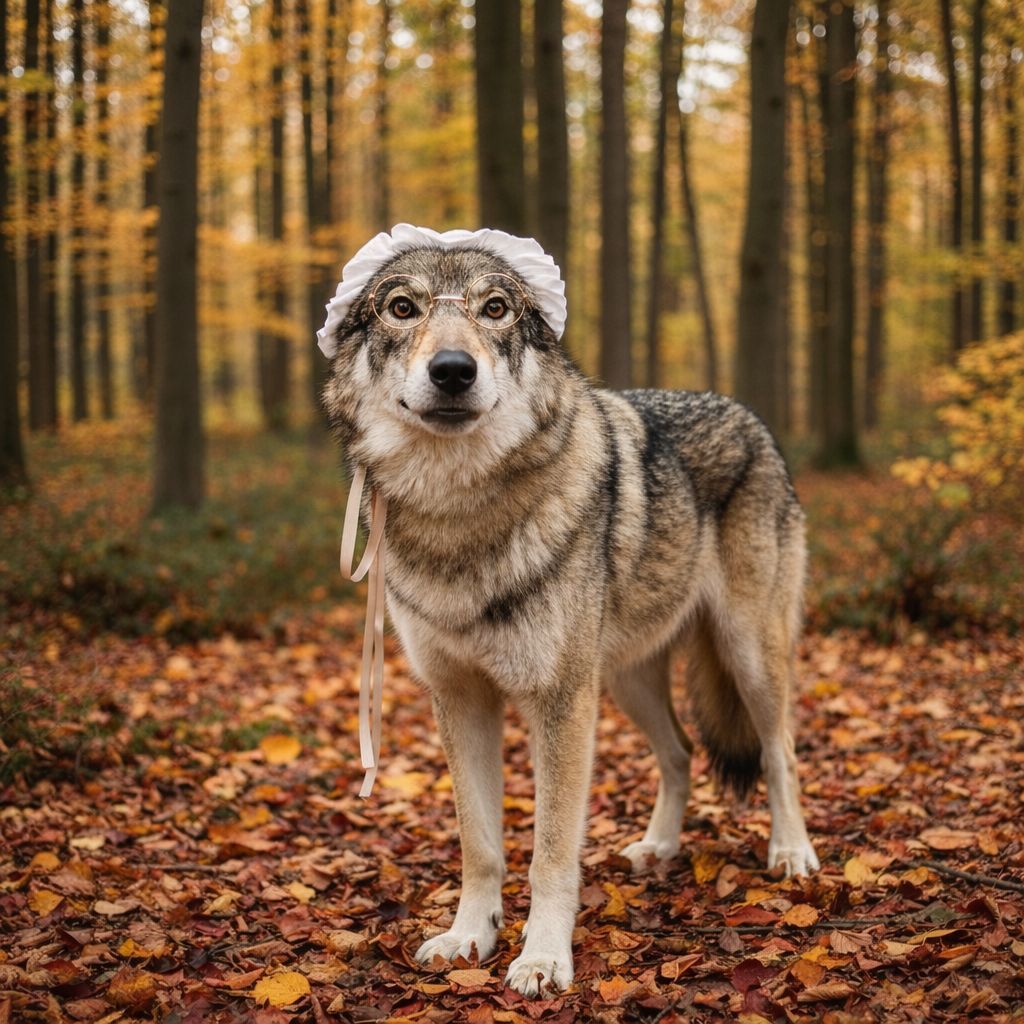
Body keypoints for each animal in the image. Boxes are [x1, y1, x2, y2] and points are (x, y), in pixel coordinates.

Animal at [320, 227, 819, 998]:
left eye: (496, 307)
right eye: (402, 308)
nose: (454, 370)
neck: (458, 516)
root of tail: (750, 417)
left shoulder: (559, 703)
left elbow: (550, 852)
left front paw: (544, 958)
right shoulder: (460, 699)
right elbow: (481, 845)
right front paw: (470, 937)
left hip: (744, 658)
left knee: (779, 751)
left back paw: (791, 852)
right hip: (624, 681)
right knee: (679, 754)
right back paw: (656, 848)